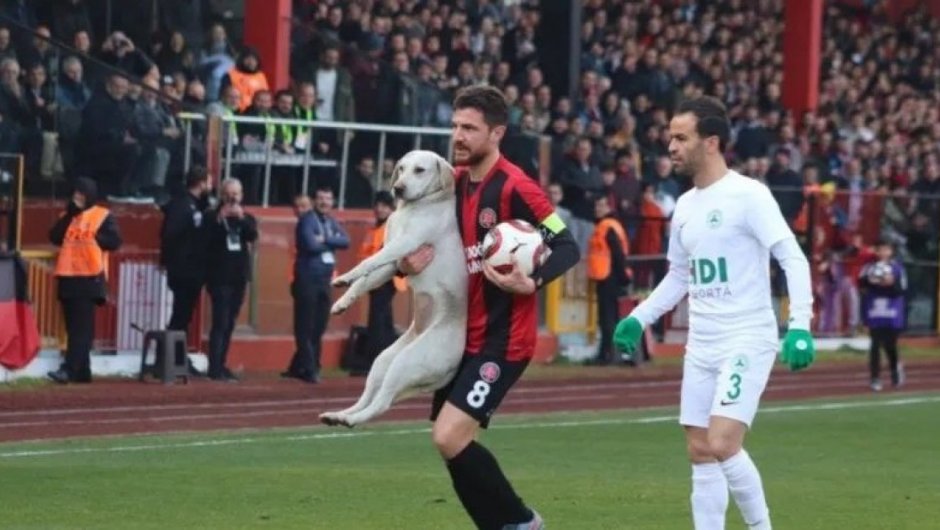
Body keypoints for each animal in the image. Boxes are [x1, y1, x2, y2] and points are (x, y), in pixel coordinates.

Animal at [322, 151, 468, 426]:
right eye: (401, 168)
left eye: (420, 170)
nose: (398, 188)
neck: (413, 208)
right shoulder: (392, 263)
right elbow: (365, 280)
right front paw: (342, 301)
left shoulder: (403, 245)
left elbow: (366, 264)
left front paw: (345, 277)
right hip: (383, 361)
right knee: (368, 399)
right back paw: (339, 416)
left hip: (406, 363)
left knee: (381, 404)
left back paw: (350, 420)